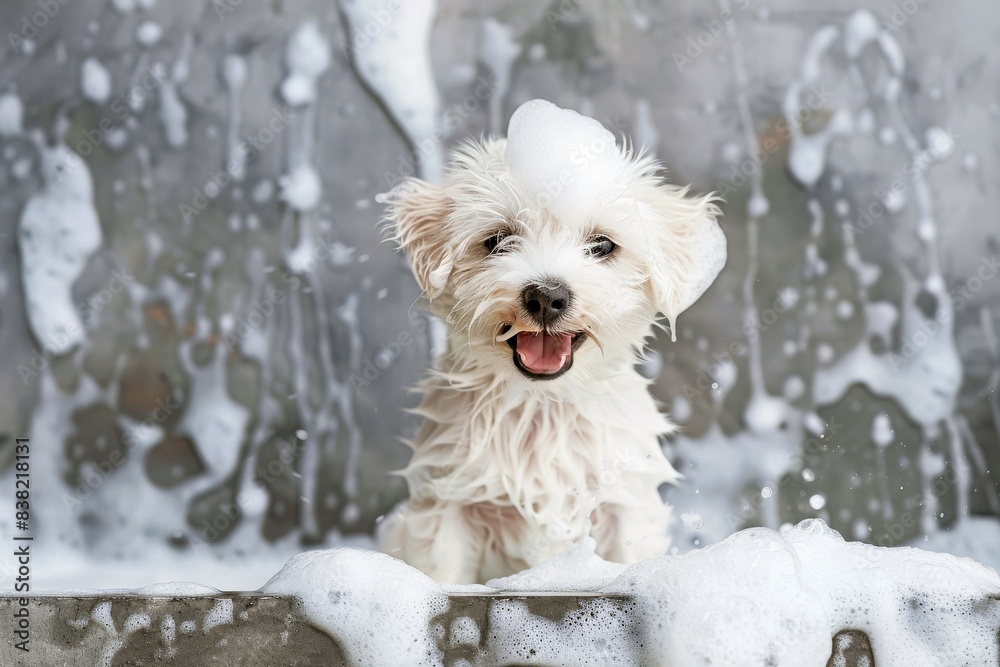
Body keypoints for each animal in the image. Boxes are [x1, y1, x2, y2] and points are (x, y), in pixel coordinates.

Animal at [378, 99, 724, 584]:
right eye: (498, 240)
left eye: (602, 245)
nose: (546, 296)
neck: (542, 410)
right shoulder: (447, 508)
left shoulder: (624, 507)